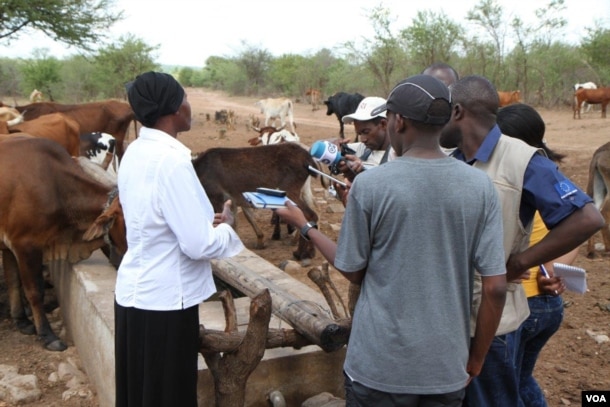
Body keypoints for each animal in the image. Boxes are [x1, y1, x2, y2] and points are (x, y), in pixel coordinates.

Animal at [0, 136, 124, 350]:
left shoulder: (9, 244)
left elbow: (13, 282)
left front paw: (22, 321)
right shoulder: (25, 245)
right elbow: (34, 291)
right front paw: (48, 335)